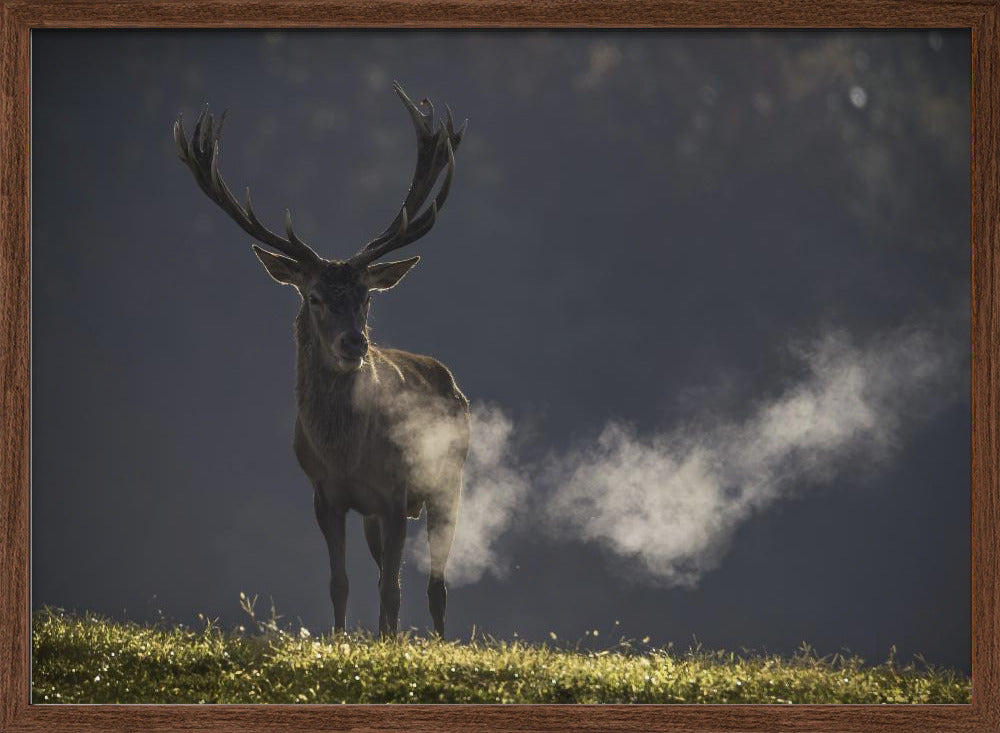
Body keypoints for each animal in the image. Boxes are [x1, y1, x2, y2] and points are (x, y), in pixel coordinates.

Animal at [173, 83, 470, 637]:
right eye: (313, 297)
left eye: (366, 297)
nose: (355, 344)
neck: (345, 452)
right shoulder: (324, 494)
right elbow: (342, 583)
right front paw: (341, 641)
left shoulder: (396, 492)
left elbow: (393, 588)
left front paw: (389, 646)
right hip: (380, 513)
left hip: (448, 479)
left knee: (436, 583)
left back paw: (437, 641)